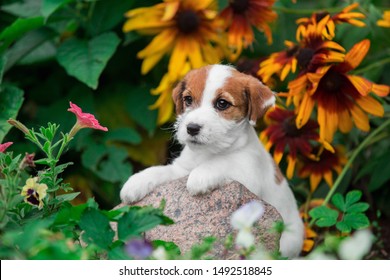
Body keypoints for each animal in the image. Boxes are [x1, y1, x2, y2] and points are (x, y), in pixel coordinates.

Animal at [120, 64, 304, 258]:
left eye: (222, 103)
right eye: (188, 99)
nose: (192, 128)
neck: (209, 152)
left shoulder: (249, 178)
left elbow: (224, 163)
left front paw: (200, 175)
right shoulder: (181, 169)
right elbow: (161, 170)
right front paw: (136, 182)